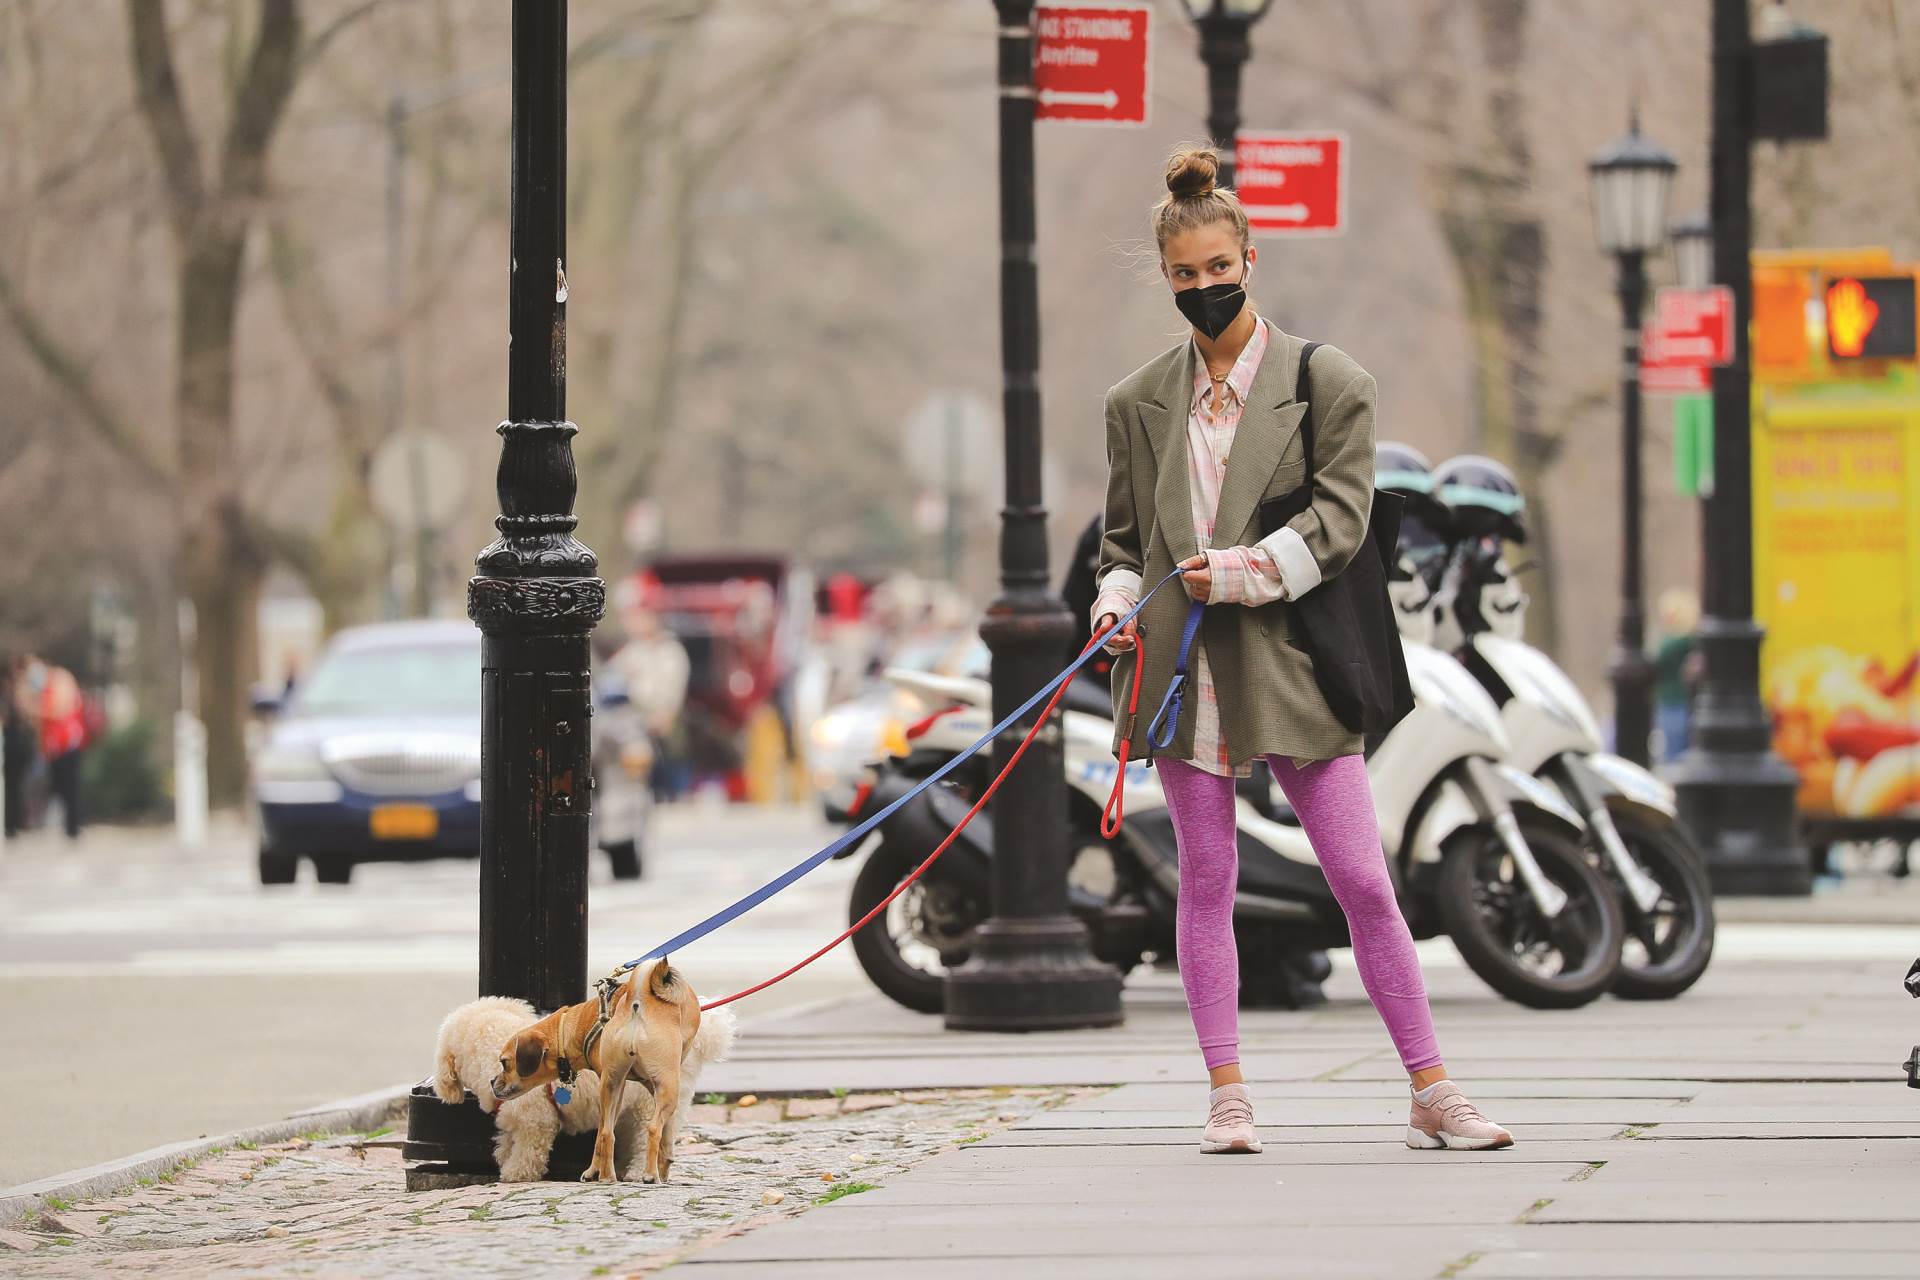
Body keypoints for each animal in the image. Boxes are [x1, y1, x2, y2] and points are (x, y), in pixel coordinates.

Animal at [433, 990, 733, 1182]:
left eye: (503, 1063)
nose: (493, 1083)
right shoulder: (514, 1122)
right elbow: (507, 1142)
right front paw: (506, 1158)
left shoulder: (536, 1122)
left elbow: (527, 1152)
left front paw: (515, 1173)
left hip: (646, 1108)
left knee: (645, 1139)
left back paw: (638, 1172)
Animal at [495, 959, 706, 1182]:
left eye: (504, 1063)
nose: (492, 1082)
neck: (573, 1028)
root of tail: (638, 1001)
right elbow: (665, 1131)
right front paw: (663, 1167)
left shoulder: (622, 1085)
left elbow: (604, 1135)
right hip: (664, 1088)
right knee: (652, 1128)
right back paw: (649, 1175)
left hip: (611, 1084)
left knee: (606, 1132)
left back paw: (606, 1176)